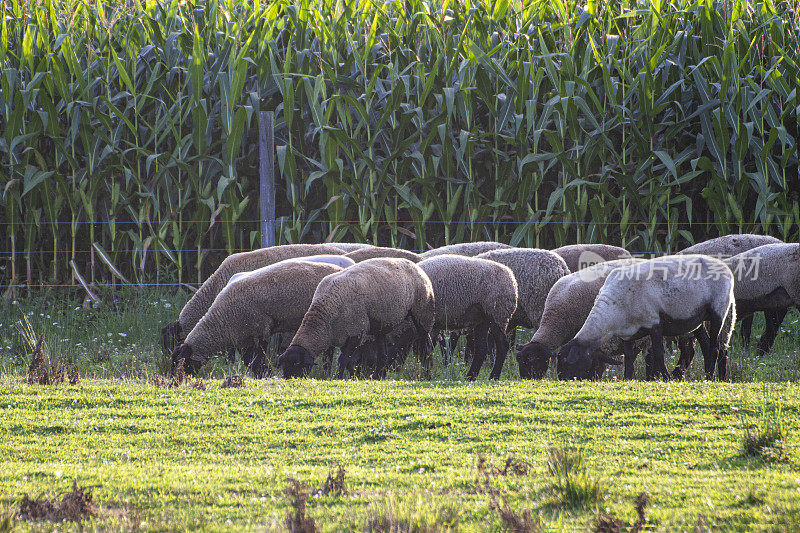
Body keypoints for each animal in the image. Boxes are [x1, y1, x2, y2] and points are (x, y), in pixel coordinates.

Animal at [276, 258, 438, 378]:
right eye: (284, 367)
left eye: (297, 366)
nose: (290, 381)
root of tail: (414, 265)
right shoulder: (345, 333)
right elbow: (349, 361)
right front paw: (353, 377)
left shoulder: (356, 332)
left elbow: (344, 360)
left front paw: (339, 378)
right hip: (381, 324)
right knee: (383, 355)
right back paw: (378, 377)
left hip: (423, 312)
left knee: (426, 347)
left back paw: (427, 375)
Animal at [556, 256, 736, 380]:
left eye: (567, 362)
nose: (562, 379)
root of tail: (725, 268)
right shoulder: (627, 333)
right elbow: (628, 356)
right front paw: (628, 378)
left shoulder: (654, 324)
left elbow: (659, 353)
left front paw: (666, 377)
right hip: (697, 319)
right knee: (706, 346)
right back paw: (710, 377)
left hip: (718, 310)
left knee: (715, 347)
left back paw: (710, 376)